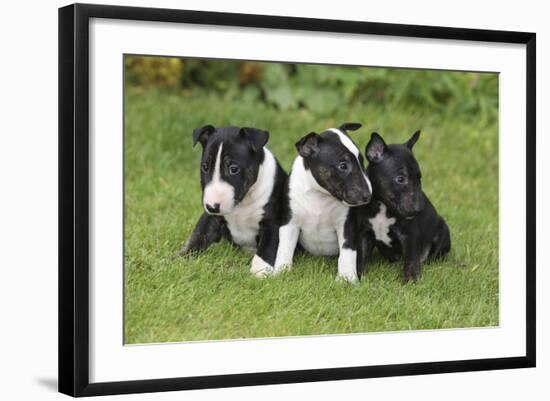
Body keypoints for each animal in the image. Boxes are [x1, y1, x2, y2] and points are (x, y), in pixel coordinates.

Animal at [177, 125, 292, 276]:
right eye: (205, 167)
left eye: (234, 169)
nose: (212, 206)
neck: (242, 203)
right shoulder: (211, 217)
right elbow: (198, 235)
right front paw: (180, 259)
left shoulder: (272, 221)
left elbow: (268, 245)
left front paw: (260, 271)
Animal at [260, 122, 376, 282]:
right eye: (343, 166)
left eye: (362, 161)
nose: (368, 195)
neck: (320, 195)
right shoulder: (290, 222)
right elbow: (285, 248)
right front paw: (281, 272)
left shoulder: (346, 225)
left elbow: (347, 253)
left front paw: (346, 279)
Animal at [364, 131, 450, 282]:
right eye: (400, 179)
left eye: (419, 178)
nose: (419, 209)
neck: (384, 207)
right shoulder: (366, 234)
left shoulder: (409, 235)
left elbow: (411, 259)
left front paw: (410, 278)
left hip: (442, 231)